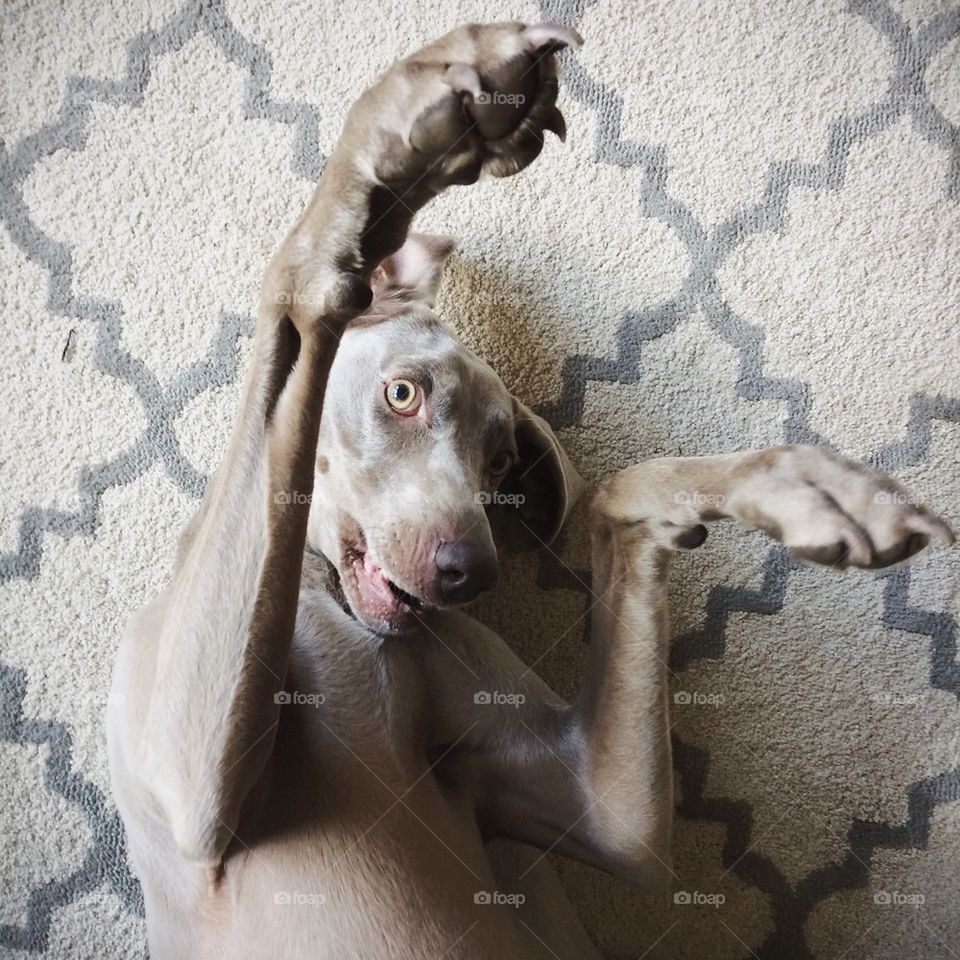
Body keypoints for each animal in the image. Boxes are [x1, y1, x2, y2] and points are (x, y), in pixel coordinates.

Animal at [107, 18, 952, 956]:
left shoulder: (606, 815)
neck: (328, 599)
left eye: (503, 462)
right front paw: (408, 124)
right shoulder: (189, 786)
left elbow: (621, 492)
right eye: (403, 395)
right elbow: (301, 290)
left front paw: (804, 487)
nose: (470, 575)